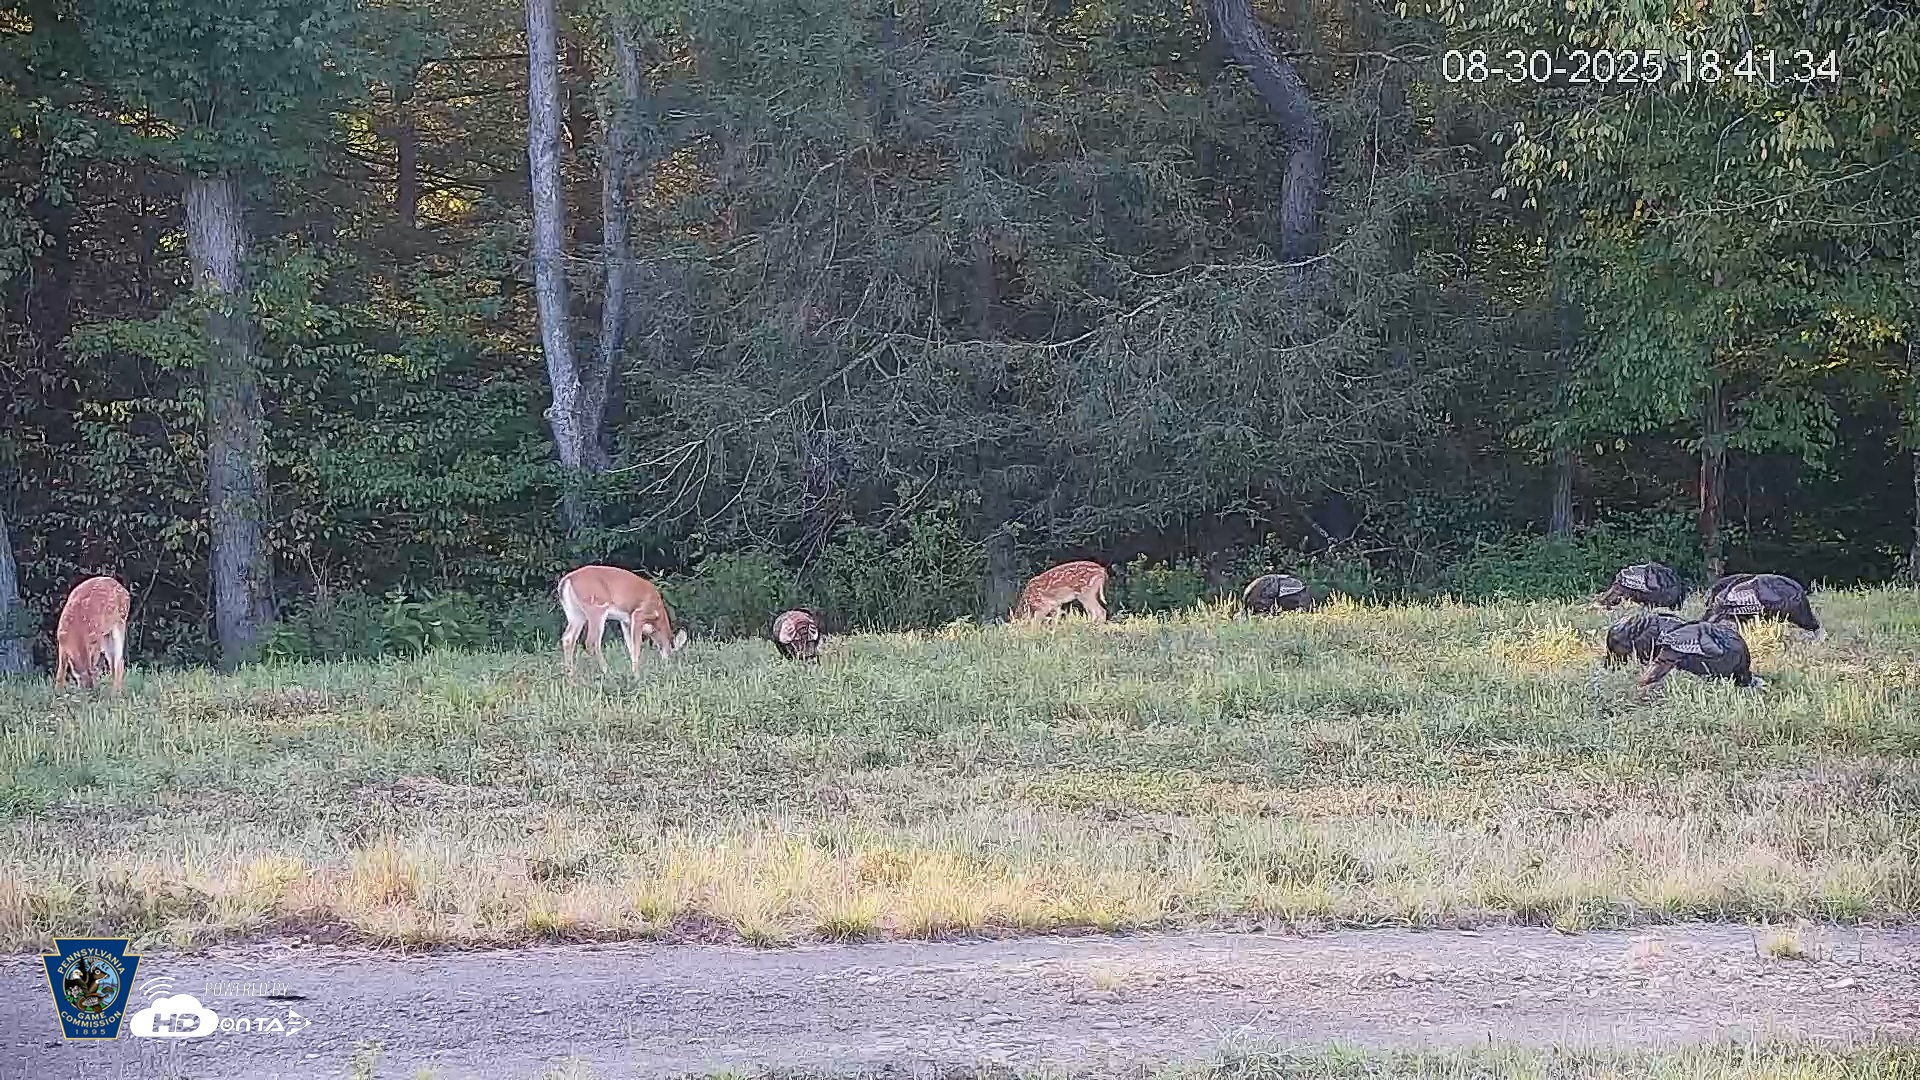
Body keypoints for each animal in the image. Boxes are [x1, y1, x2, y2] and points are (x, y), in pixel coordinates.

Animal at [556, 565, 689, 678]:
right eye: (674, 653)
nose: (670, 667)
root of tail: (566, 580)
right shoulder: (638, 614)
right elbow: (636, 647)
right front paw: (636, 674)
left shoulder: (625, 621)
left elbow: (630, 646)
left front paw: (633, 672)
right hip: (596, 607)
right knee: (591, 642)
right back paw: (607, 671)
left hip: (575, 613)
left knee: (568, 638)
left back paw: (570, 674)